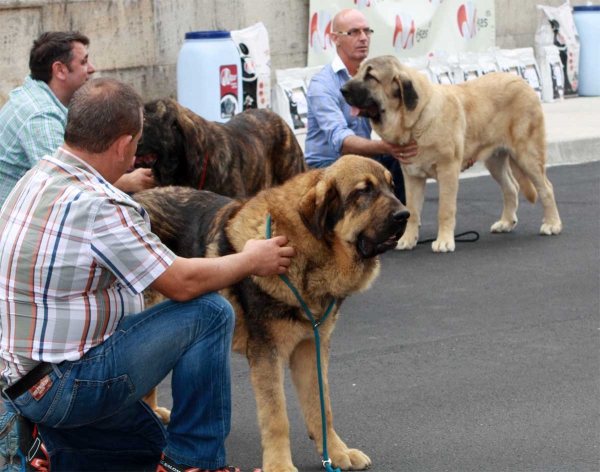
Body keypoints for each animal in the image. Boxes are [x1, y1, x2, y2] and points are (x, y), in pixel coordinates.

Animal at [134, 156, 410, 472]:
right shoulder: (268, 354)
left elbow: (322, 407)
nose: (405, 215)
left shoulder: (311, 348)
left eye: (392, 186)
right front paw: (279, 465)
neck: (307, 255)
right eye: (363, 191)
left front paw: (337, 453)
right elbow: (277, 417)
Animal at [342, 55, 564, 253]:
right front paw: (407, 240)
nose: (342, 90)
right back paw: (506, 222)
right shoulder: (412, 176)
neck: (415, 120)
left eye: (371, 76)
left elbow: (445, 210)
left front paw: (444, 242)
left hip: (527, 154)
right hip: (495, 161)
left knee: (546, 188)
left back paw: (552, 224)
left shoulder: (447, 171)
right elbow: (412, 210)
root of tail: (524, 83)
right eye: (358, 71)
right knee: (511, 187)